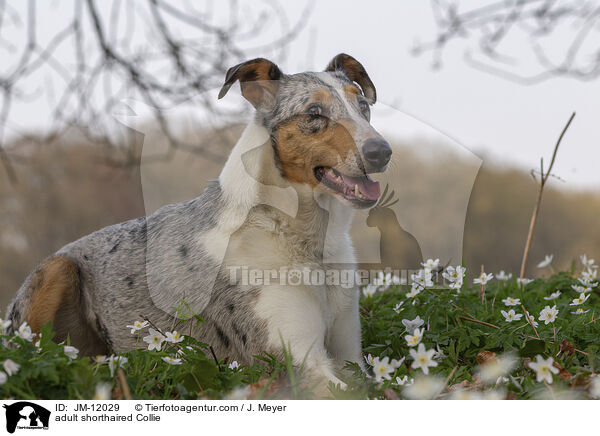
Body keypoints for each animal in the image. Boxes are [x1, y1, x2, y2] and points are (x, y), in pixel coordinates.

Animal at [7, 52, 392, 394]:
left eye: (363, 105)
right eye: (314, 112)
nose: (382, 152)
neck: (303, 240)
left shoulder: (349, 355)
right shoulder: (297, 363)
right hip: (56, 271)